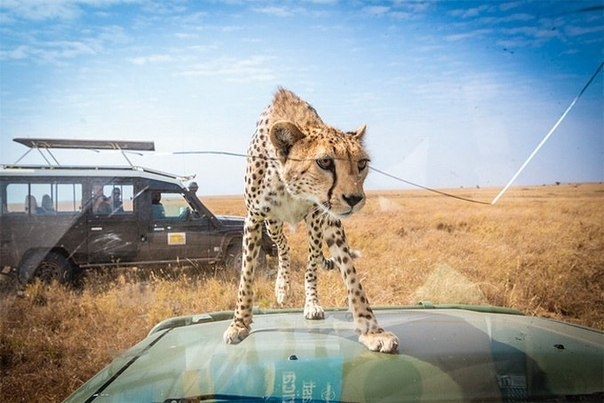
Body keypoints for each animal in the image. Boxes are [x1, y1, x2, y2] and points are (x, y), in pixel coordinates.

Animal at [224, 87, 398, 354]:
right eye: (324, 161)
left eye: (361, 164)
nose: (354, 198)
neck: (289, 186)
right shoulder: (253, 219)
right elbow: (246, 276)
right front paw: (239, 324)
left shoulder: (318, 216)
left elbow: (343, 276)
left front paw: (372, 330)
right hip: (272, 224)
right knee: (283, 246)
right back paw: (282, 287)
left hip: (329, 224)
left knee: (314, 259)